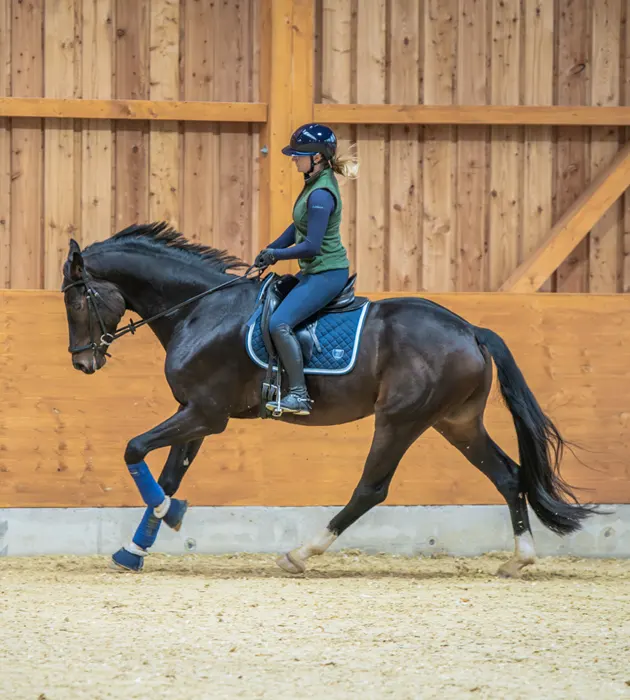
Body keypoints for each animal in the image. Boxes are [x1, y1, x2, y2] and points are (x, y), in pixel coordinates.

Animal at [60, 222, 596, 577]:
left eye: (76, 298)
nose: (82, 363)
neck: (202, 309)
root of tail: (470, 330)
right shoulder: (192, 413)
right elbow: (168, 475)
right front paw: (136, 548)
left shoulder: (205, 415)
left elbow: (134, 449)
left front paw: (166, 518)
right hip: (457, 422)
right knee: (508, 475)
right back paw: (520, 559)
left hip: (401, 420)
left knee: (371, 489)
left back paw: (300, 553)